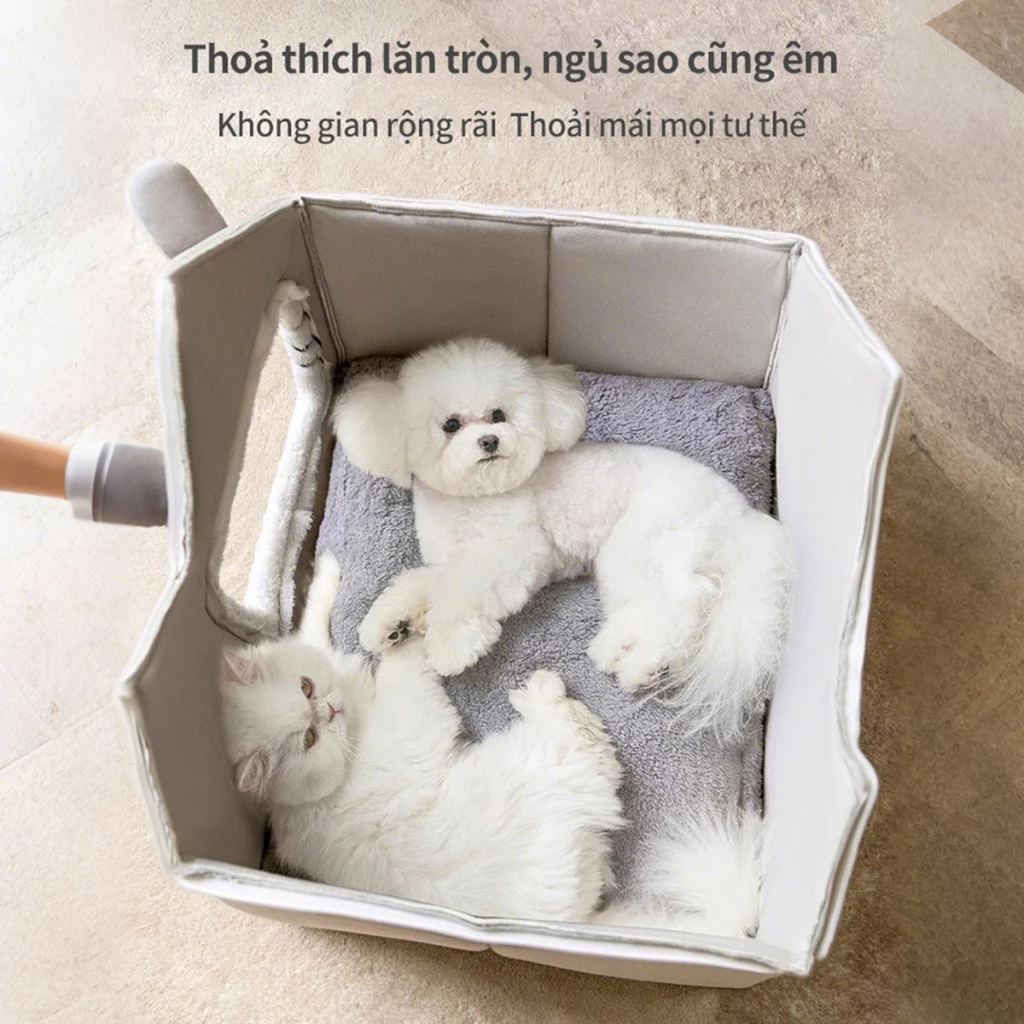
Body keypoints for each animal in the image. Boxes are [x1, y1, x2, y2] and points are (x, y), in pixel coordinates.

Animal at [332, 338, 792, 737]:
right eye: (450, 425)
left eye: (498, 415)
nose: (489, 441)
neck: (477, 499)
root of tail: (742, 515)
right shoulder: (451, 560)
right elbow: (419, 583)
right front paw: (391, 622)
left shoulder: (508, 554)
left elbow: (462, 596)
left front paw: (449, 644)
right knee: (654, 605)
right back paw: (624, 652)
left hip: (646, 538)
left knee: (689, 598)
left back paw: (645, 663)